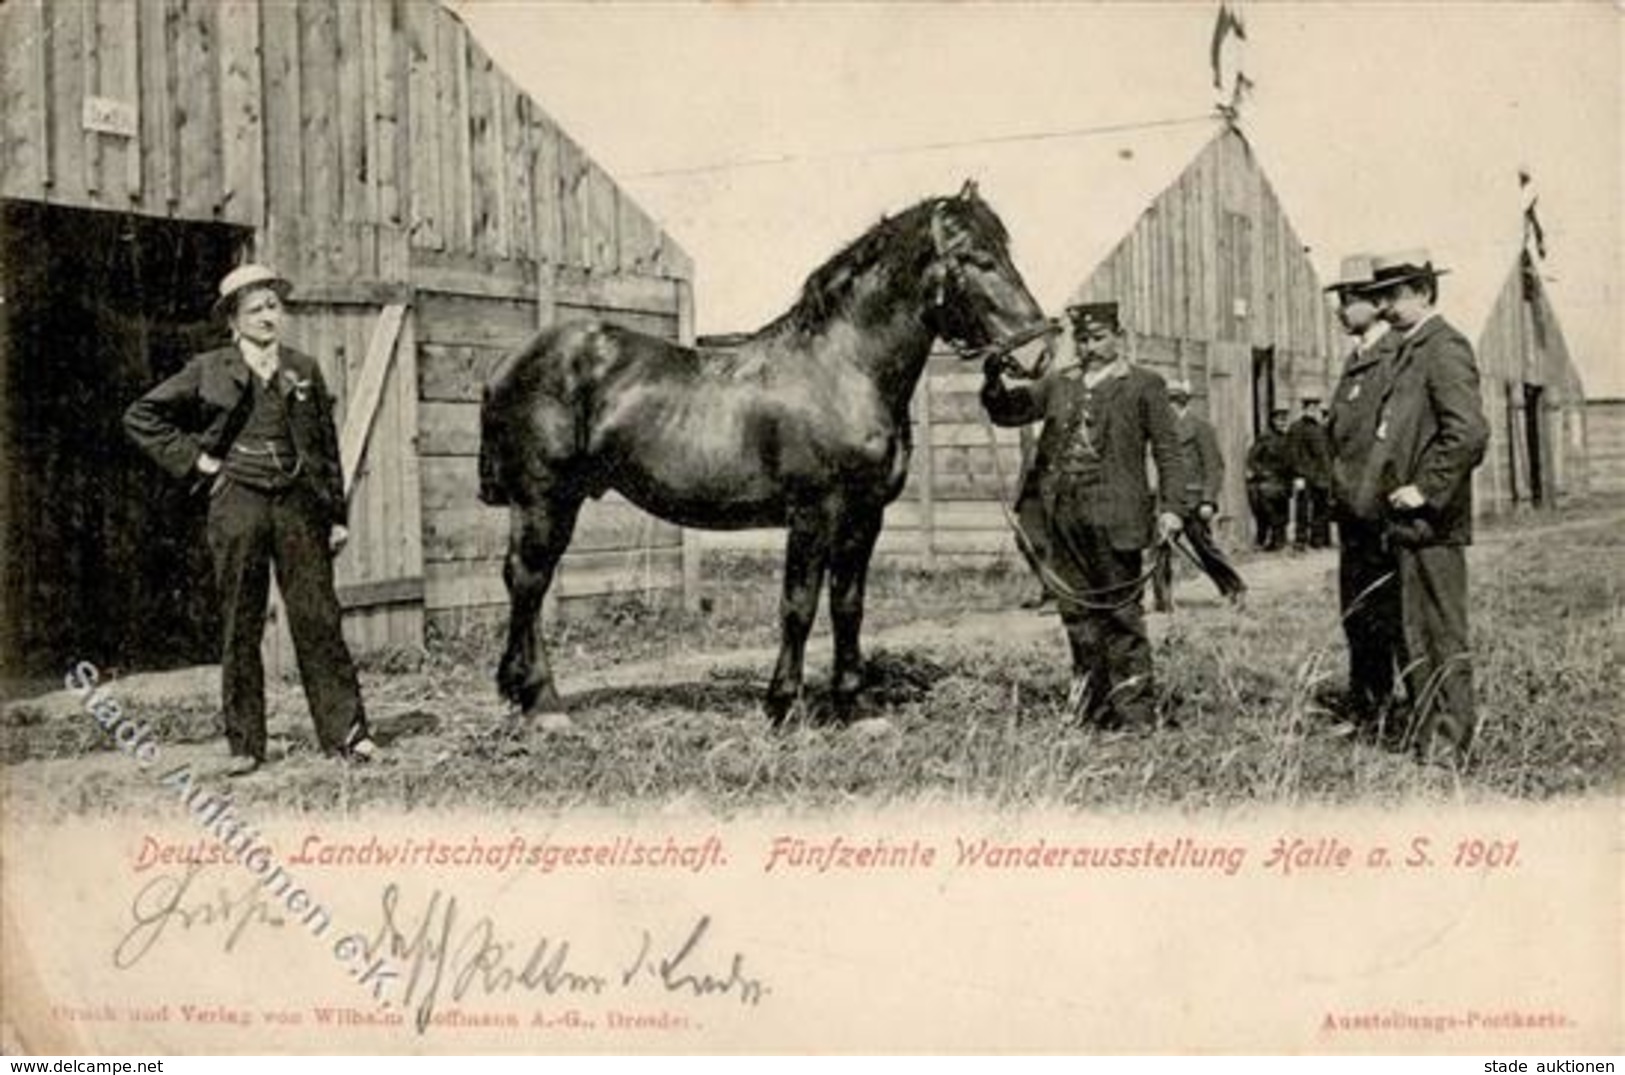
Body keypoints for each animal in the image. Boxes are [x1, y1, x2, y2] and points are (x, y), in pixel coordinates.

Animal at [474, 183, 1046, 724]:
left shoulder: (865, 516)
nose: (1037, 352)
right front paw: (782, 705)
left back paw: (517, 691)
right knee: (529, 580)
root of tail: (510, 362)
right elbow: (799, 605)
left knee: (524, 582)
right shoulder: (813, 513)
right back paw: (543, 703)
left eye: (1006, 250)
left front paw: (855, 707)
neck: (842, 370)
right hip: (545, 499)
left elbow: (848, 605)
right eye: (975, 256)